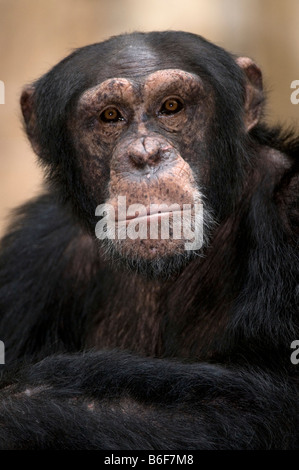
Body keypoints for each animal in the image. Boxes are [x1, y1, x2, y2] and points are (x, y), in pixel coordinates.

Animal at [0, 31, 298, 450]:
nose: (146, 155)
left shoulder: (291, 207)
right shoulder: (32, 254)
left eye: (171, 107)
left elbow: (260, 404)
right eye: (110, 116)